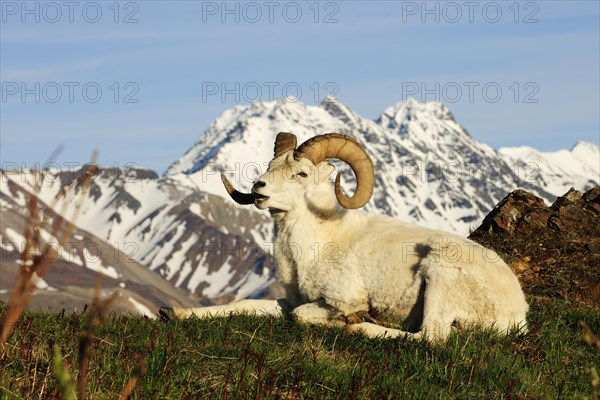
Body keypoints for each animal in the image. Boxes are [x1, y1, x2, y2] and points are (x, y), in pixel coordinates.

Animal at [161, 133, 528, 342]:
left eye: (301, 173)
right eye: (270, 166)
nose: (258, 189)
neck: (316, 245)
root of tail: (517, 312)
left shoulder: (340, 300)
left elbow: (302, 316)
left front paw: (348, 320)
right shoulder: (288, 300)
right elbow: (241, 305)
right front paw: (172, 314)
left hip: (439, 277)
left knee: (431, 337)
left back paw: (359, 326)